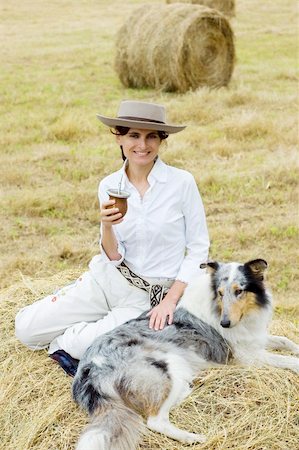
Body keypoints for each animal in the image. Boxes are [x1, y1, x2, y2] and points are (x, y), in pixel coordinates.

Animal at [72, 260, 299, 450]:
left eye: (239, 291)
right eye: (220, 293)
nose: (225, 323)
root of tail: (90, 368)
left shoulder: (255, 339)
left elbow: (285, 341)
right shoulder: (247, 356)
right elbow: (288, 360)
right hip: (170, 365)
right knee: (156, 421)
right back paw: (193, 438)